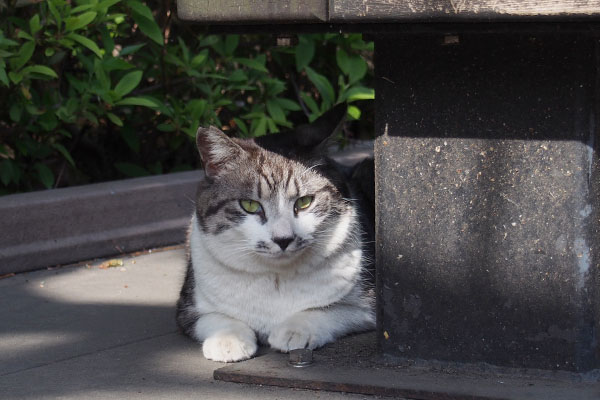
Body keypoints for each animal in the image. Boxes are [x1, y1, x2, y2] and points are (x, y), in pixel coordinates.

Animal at [173, 105, 378, 362]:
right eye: (250, 205)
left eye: (304, 202)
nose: (283, 239)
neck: (276, 277)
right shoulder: (187, 308)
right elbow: (213, 317)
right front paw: (228, 340)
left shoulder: (368, 306)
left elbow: (331, 310)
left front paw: (294, 330)